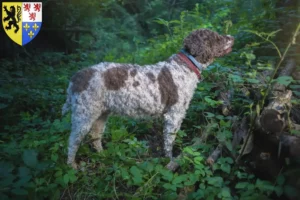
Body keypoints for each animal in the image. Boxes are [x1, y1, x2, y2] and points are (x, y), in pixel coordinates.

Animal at [61, 28, 234, 169]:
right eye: (217, 37)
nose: (232, 37)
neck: (184, 67)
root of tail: (76, 77)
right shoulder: (174, 115)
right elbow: (169, 141)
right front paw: (170, 161)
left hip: (101, 115)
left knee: (95, 137)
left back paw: (103, 155)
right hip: (84, 115)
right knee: (72, 141)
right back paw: (72, 166)